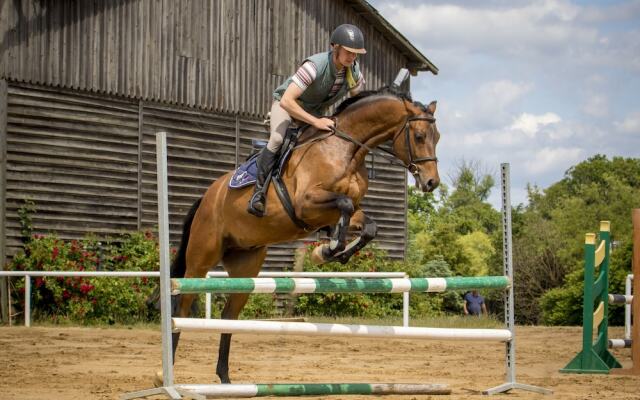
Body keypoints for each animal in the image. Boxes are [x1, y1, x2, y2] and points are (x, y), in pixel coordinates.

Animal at [165, 88, 440, 384]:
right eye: (419, 136)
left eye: (437, 137)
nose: (431, 182)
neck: (347, 150)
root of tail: (206, 197)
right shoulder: (306, 204)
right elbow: (344, 205)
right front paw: (328, 250)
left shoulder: (344, 212)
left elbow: (368, 226)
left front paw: (330, 252)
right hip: (200, 259)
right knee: (181, 309)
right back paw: (166, 373)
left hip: (245, 264)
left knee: (229, 315)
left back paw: (225, 379)